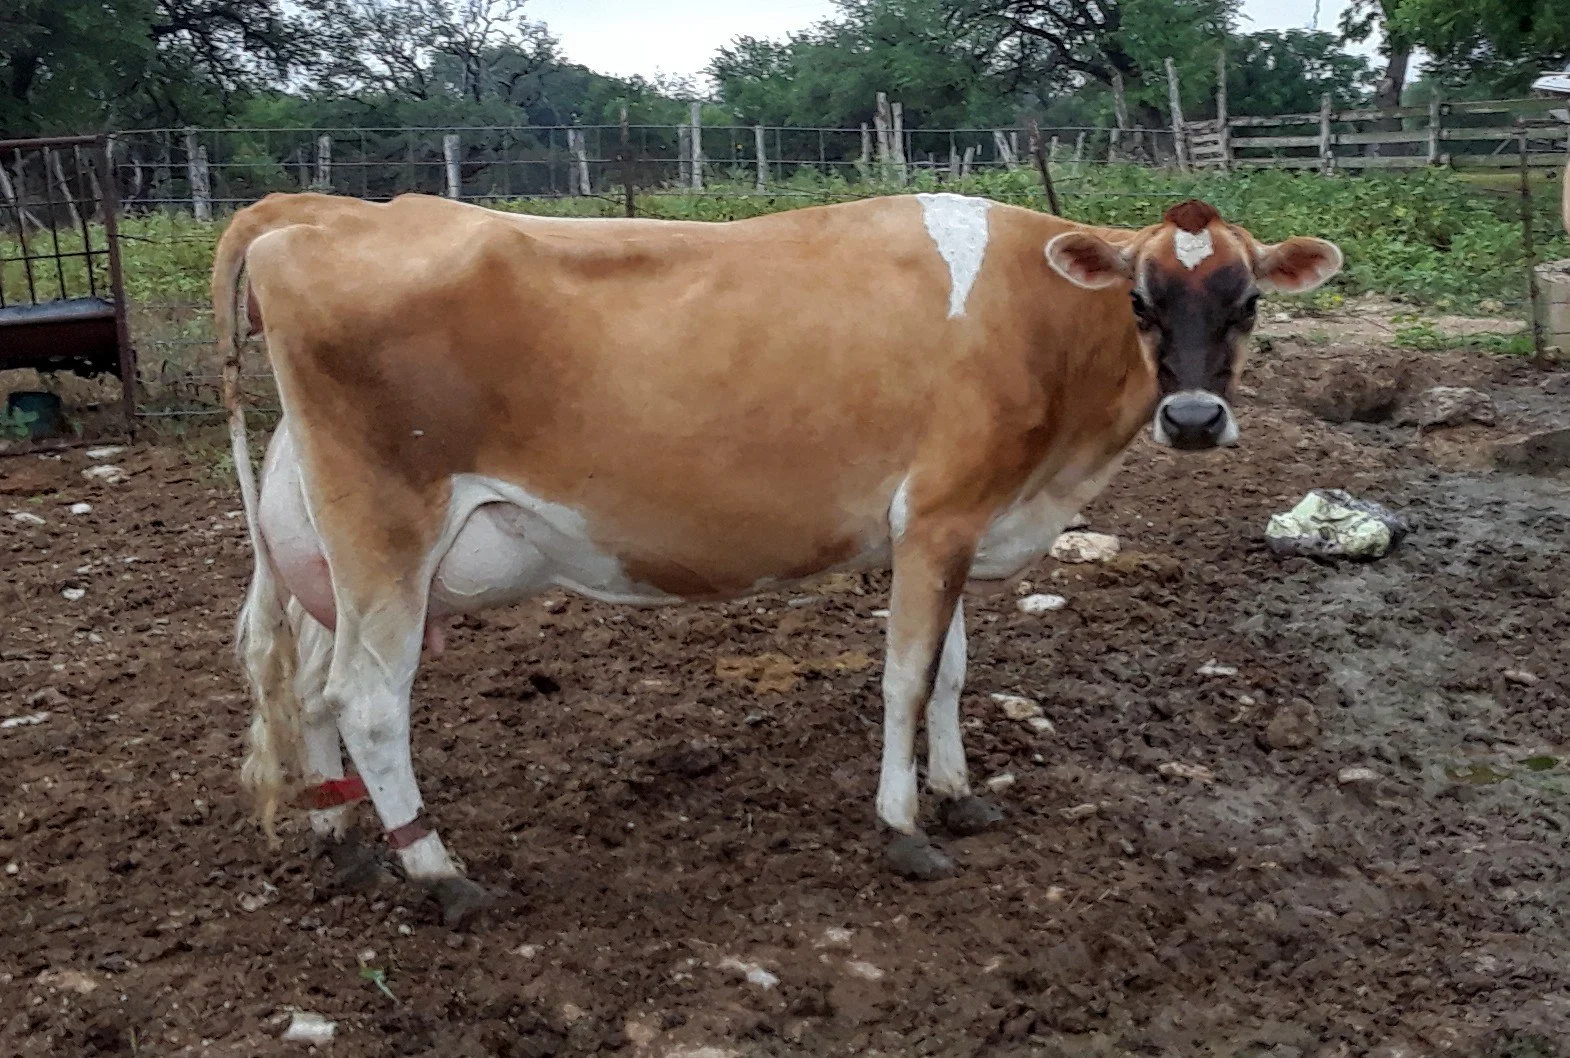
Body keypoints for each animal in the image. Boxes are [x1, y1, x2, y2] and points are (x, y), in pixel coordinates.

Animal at [213, 190, 1342, 927]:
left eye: (1246, 300)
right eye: (1141, 300)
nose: (1194, 420)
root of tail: (315, 212)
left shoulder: (955, 522)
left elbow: (953, 671)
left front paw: (959, 791)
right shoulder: (937, 513)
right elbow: (904, 678)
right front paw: (904, 825)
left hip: (327, 542)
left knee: (308, 684)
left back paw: (345, 842)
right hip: (388, 527)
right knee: (366, 698)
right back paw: (439, 873)